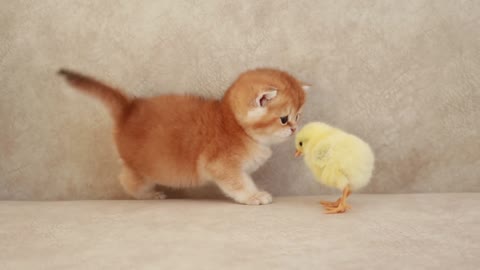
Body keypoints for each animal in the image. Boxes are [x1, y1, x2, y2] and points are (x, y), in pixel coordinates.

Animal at [58, 68, 308, 206]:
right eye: (284, 119)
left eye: (298, 115)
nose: (294, 128)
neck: (234, 124)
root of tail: (129, 107)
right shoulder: (221, 165)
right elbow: (239, 183)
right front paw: (254, 196)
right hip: (143, 171)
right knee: (127, 181)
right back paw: (148, 195)